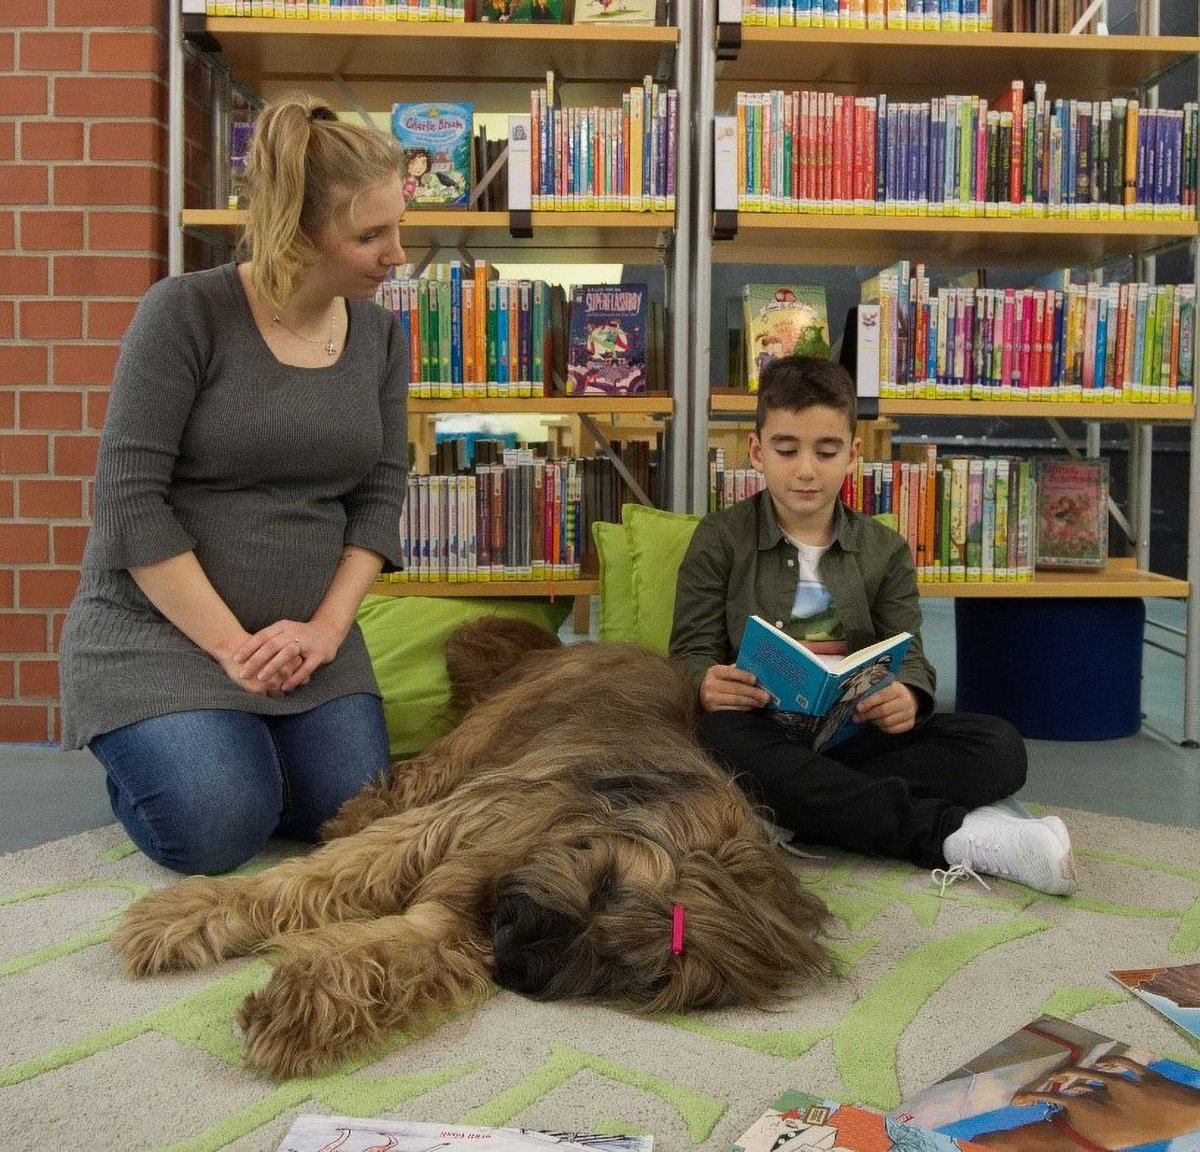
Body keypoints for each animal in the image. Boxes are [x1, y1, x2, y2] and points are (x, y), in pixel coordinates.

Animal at [114, 619, 835, 1080]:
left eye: (630, 971)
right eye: (605, 886)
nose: (516, 965)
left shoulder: (455, 920)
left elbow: (391, 952)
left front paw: (299, 1010)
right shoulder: (456, 824)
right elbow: (310, 879)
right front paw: (178, 917)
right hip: (489, 729)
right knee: (416, 776)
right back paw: (356, 811)